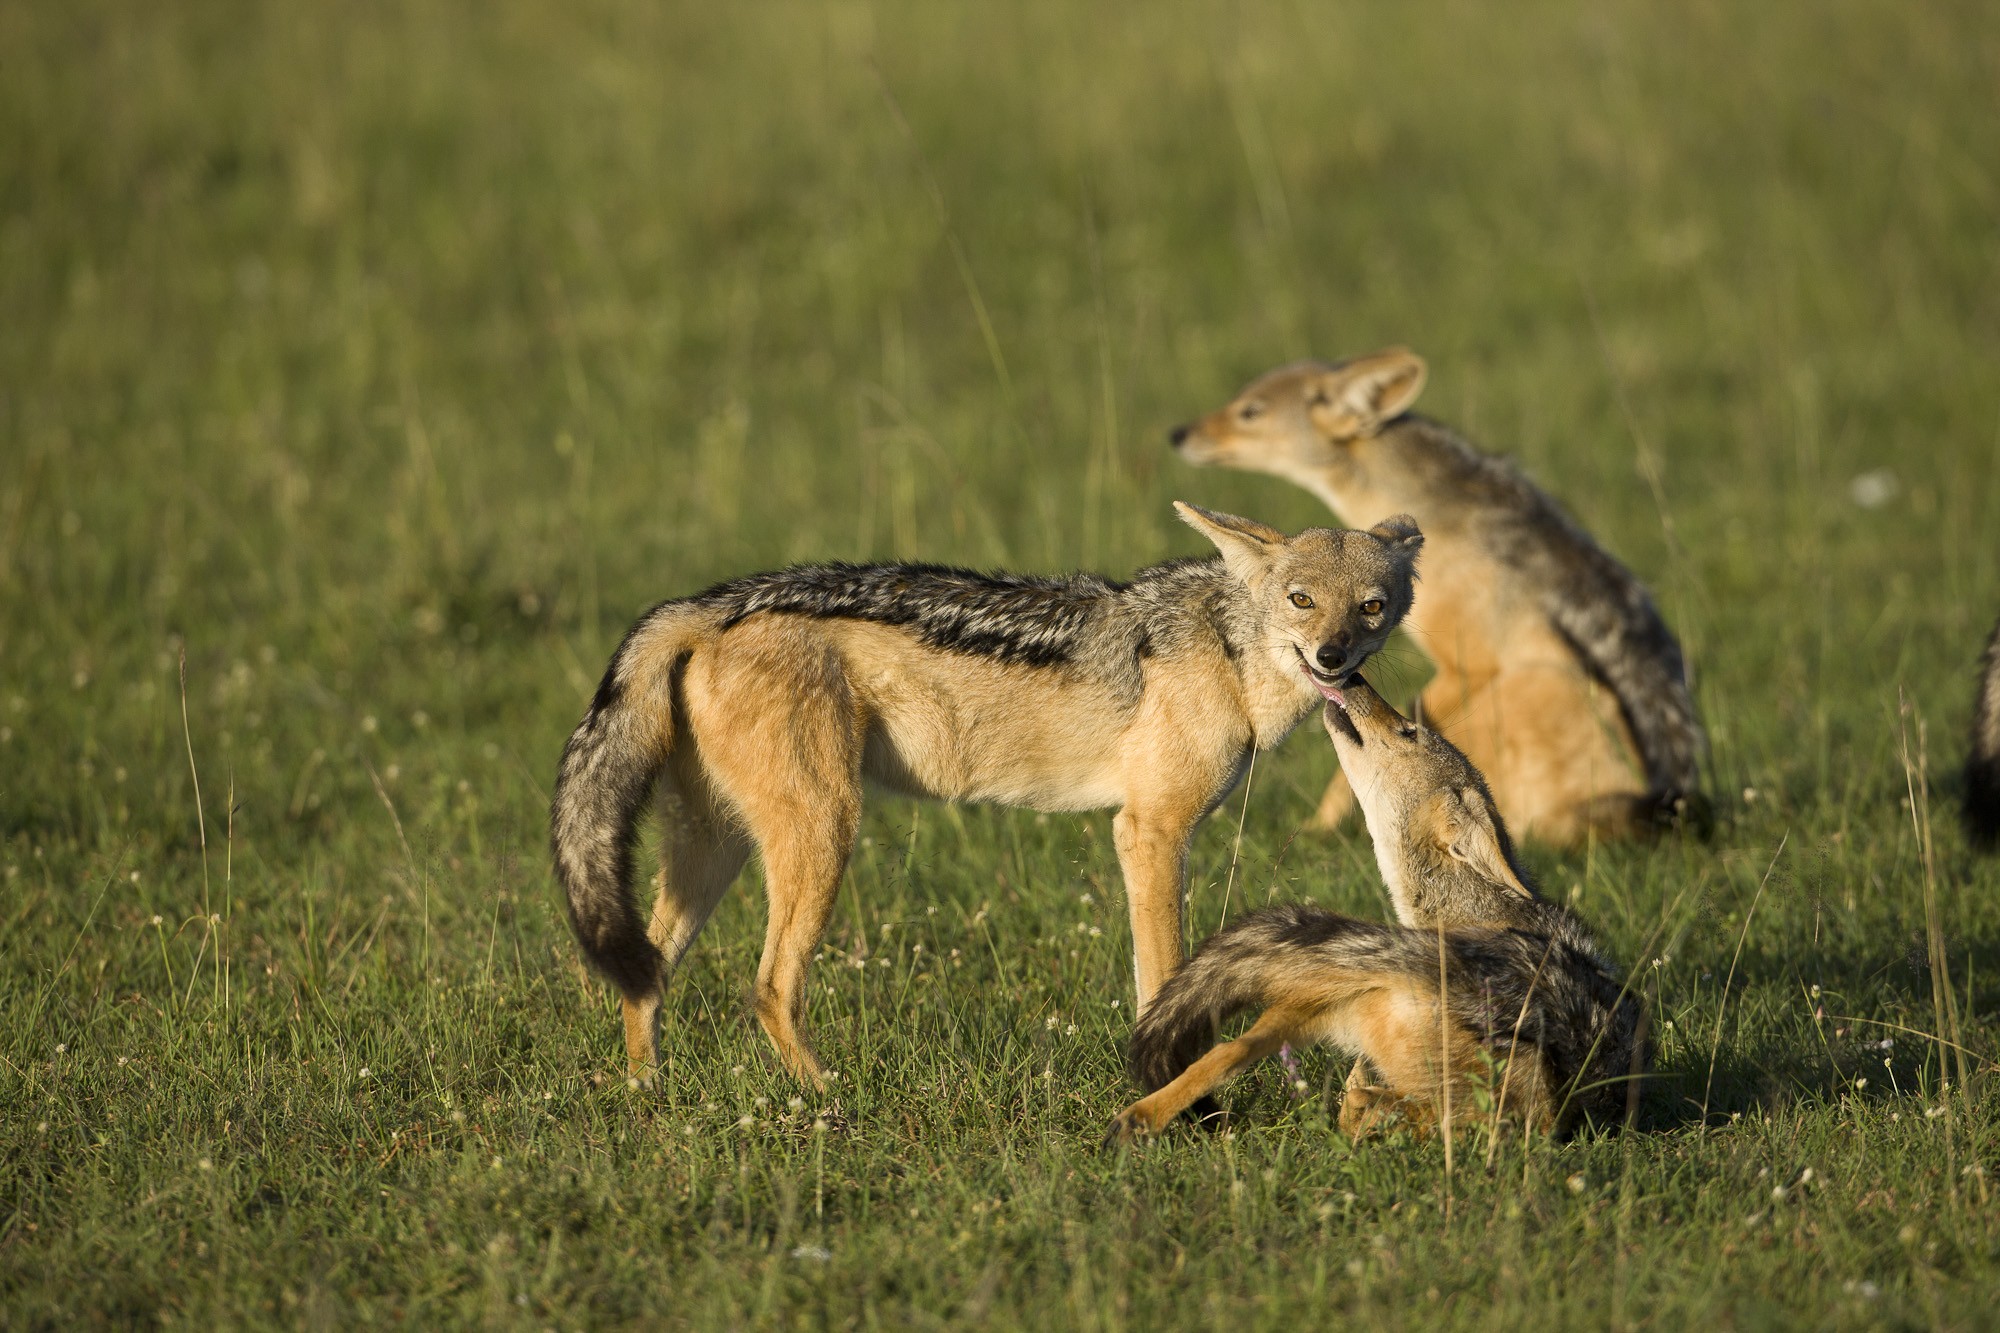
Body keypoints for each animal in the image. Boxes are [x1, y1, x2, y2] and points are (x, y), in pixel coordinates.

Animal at [550, 503, 1424, 1086]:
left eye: (1371, 607)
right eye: (1301, 599)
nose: (1333, 655)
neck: (1231, 655)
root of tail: (706, 604)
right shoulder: (1149, 831)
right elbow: (1165, 973)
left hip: (717, 850)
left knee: (647, 970)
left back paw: (649, 1090)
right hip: (821, 836)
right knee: (766, 990)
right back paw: (828, 1100)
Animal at [1169, 347, 1706, 846]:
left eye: (1250, 412)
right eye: (1237, 400)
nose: (1177, 434)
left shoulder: (1469, 665)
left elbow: (1381, 729)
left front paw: (1324, 826)